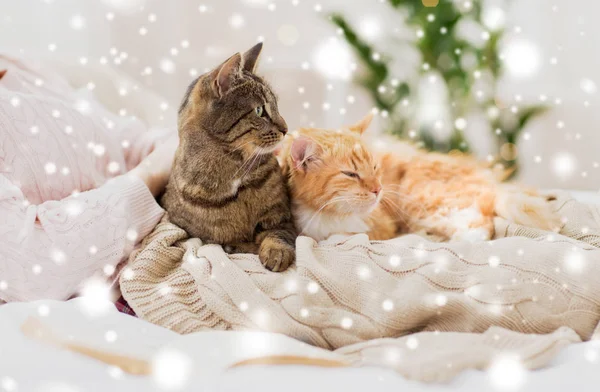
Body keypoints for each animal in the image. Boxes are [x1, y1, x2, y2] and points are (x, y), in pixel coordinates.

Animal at [161, 41, 296, 272]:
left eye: (277, 105)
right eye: (259, 110)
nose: (286, 129)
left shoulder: (282, 217)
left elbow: (278, 234)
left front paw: (276, 252)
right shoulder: (193, 237)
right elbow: (226, 244)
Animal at [278, 113, 560, 242]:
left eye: (375, 167)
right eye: (351, 174)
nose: (378, 189)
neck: (326, 216)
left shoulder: (380, 228)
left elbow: (347, 236)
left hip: (422, 196)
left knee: (479, 222)